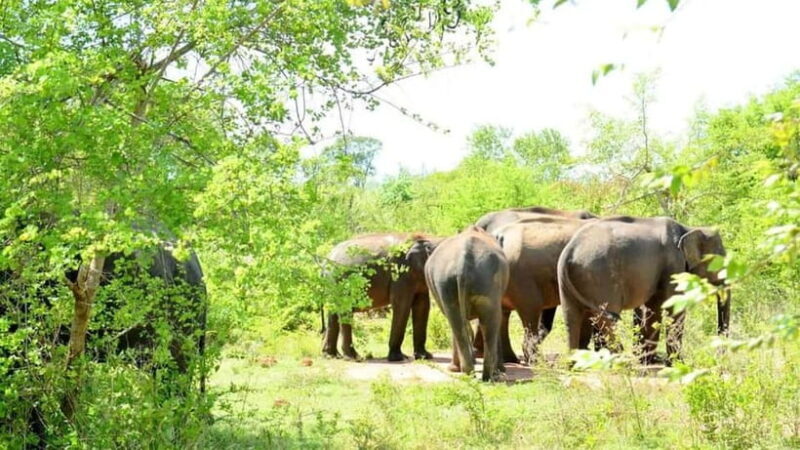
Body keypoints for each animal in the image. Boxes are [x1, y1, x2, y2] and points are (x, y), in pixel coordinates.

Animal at [322, 233, 438, 361]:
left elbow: (422, 306)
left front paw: (425, 356)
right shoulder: (400, 272)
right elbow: (402, 305)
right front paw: (399, 358)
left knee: (333, 313)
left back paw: (331, 355)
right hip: (340, 282)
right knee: (344, 310)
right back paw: (354, 358)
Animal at [424, 226, 509, 381]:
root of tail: (463, 264)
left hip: (450, 283)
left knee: (460, 323)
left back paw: (473, 374)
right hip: (476, 283)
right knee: (487, 322)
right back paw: (487, 375)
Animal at [557, 216, 730, 362]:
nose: (719, 359)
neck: (688, 229)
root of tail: (569, 251)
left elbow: (655, 307)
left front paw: (648, 361)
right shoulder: (674, 264)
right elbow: (674, 305)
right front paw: (678, 363)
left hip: (570, 282)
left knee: (571, 317)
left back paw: (573, 365)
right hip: (600, 278)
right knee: (606, 318)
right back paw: (621, 360)